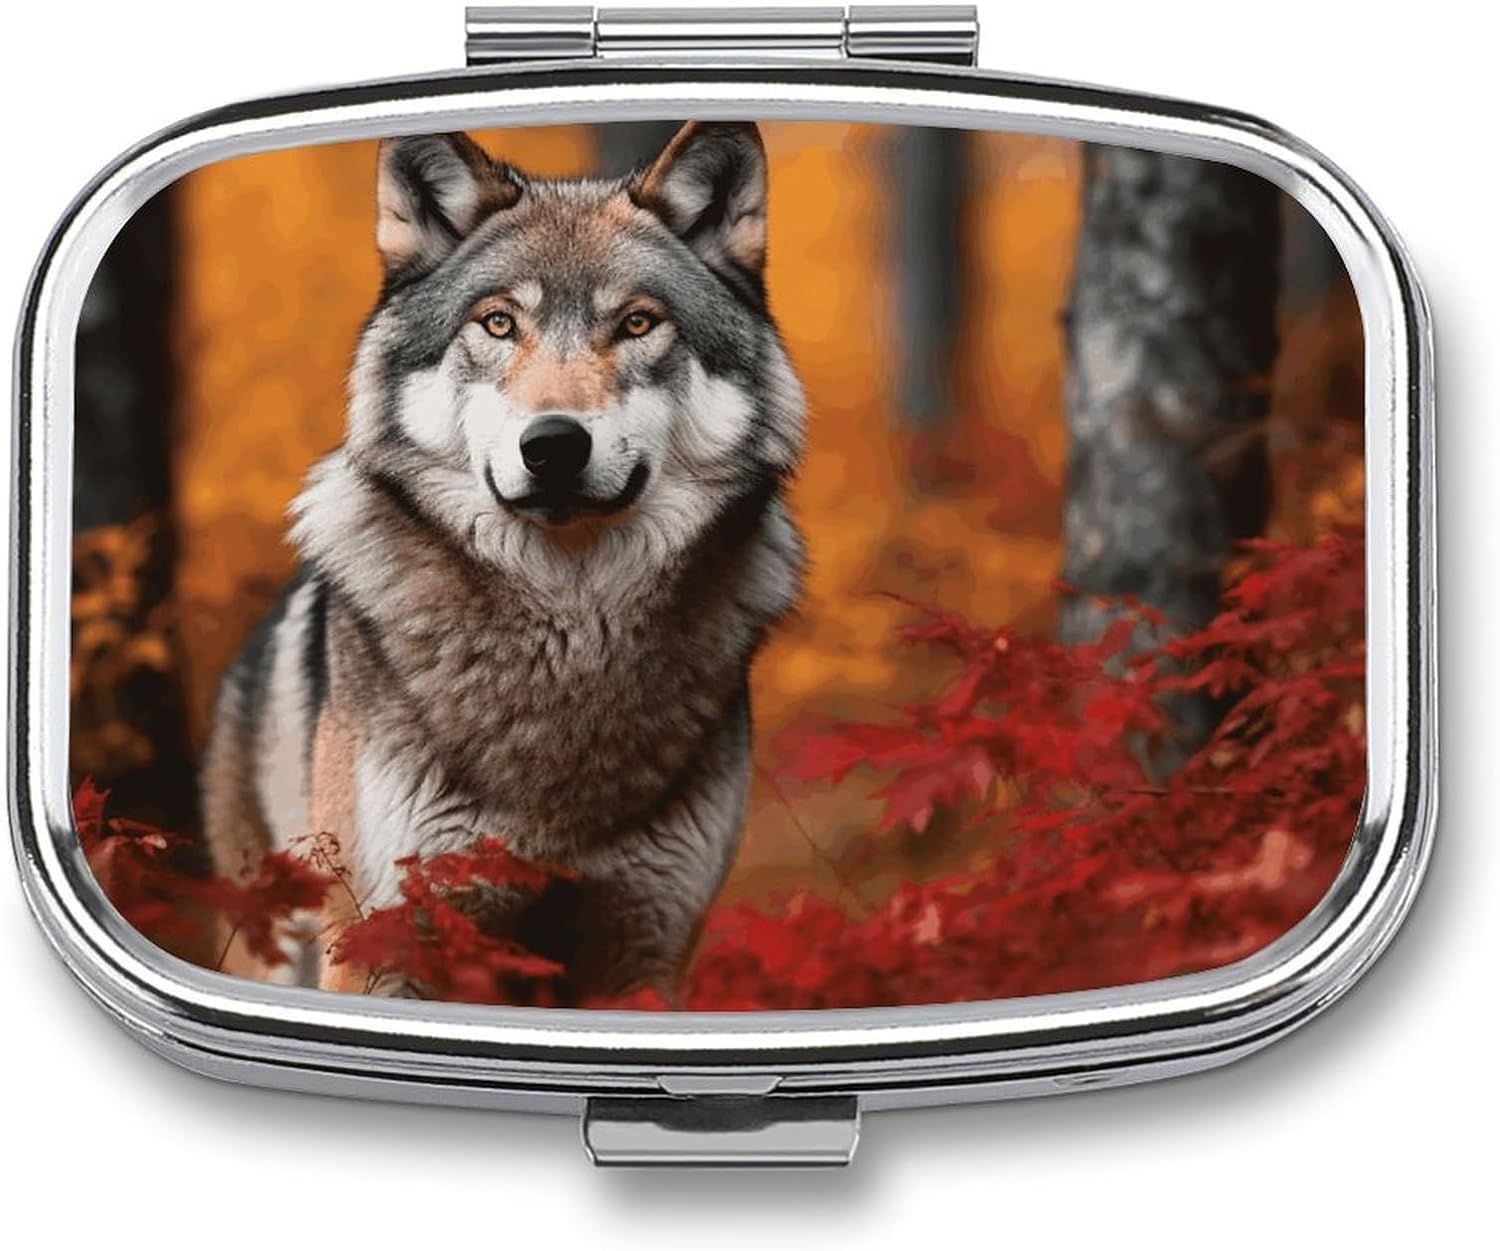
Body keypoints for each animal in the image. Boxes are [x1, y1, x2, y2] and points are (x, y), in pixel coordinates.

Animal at [200, 122, 806, 1000]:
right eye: (496, 323)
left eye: (637, 323)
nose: (553, 445)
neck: (568, 638)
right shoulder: (384, 943)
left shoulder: (644, 946)